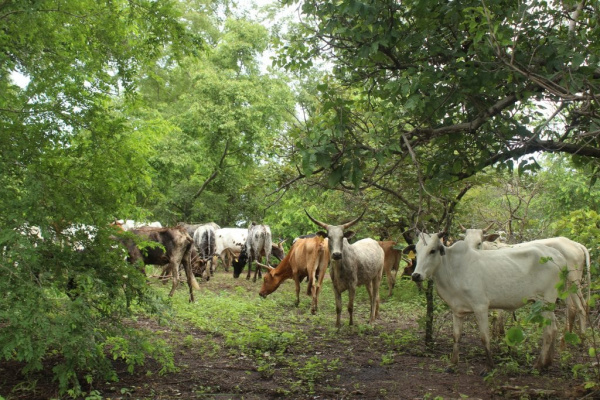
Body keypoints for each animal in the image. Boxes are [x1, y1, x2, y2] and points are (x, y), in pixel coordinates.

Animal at [412, 231, 568, 372]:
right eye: (416, 251)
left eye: (432, 251)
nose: (416, 275)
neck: (451, 269)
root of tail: (558, 256)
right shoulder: (457, 310)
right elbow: (456, 336)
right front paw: (452, 364)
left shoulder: (480, 307)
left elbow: (484, 337)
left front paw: (489, 367)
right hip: (544, 305)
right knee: (554, 328)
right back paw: (547, 363)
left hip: (545, 302)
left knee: (549, 331)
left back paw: (538, 365)